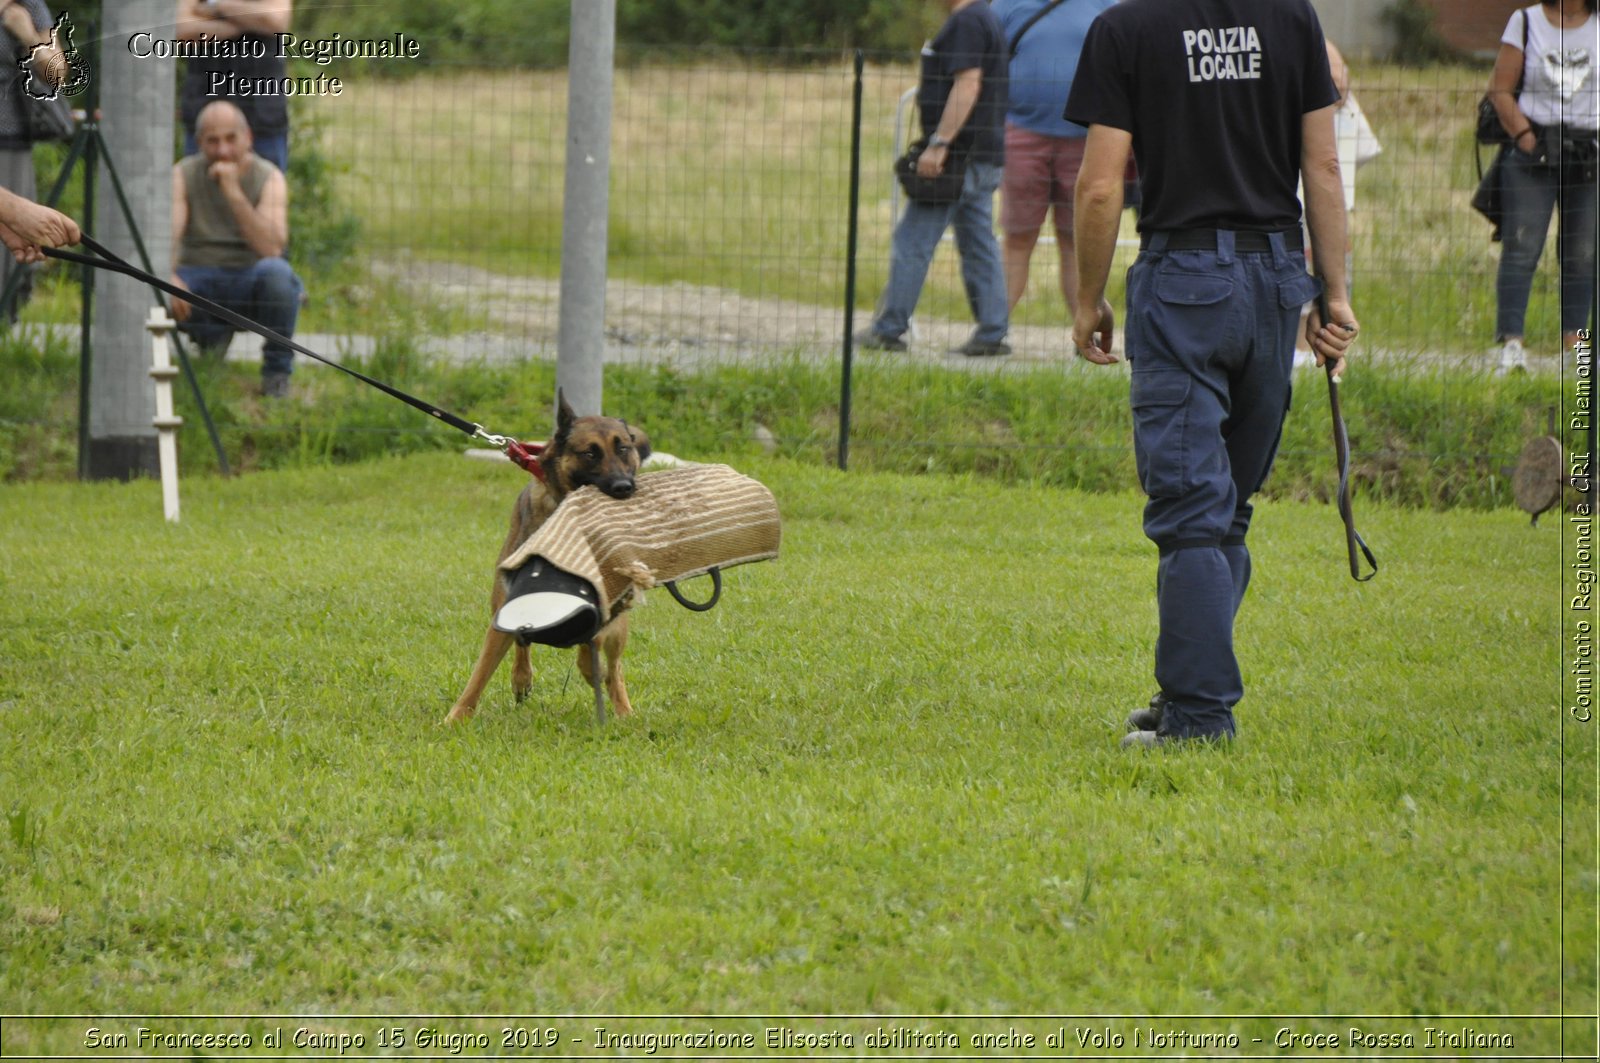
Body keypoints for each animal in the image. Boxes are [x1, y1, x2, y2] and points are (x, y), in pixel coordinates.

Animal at [444, 393, 649, 726]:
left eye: (623, 448)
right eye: (590, 453)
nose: (624, 488)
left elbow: (594, 647)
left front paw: (593, 671)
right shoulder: (505, 610)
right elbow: (481, 673)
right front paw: (457, 717)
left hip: (619, 626)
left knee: (614, 664)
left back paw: (621, 706)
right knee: (522, 644)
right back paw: (522, 679)